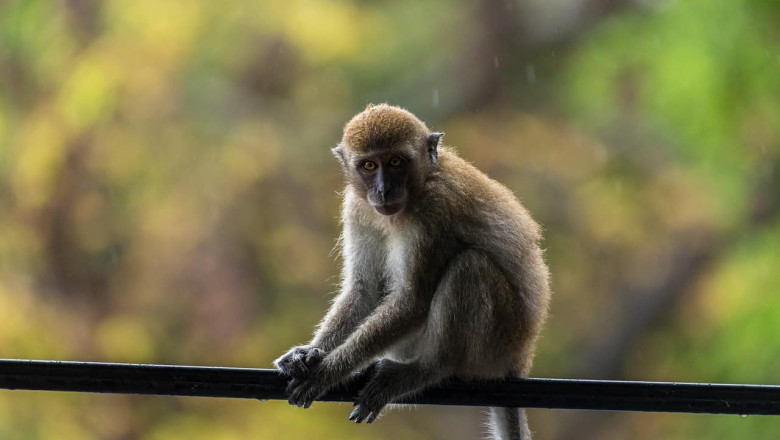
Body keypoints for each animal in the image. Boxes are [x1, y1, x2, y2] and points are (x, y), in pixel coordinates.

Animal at [274, 104, 548, 440]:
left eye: (395, 162)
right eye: (369, 165)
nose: (382, 190)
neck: (423, 182)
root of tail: (519, 359)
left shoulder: (435, 210)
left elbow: (411, 301)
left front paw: (327, 372)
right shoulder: (356, 207)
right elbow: (365, 290)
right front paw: (309, 353)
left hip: (497, 343)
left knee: (470, 265)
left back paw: (427, 370)